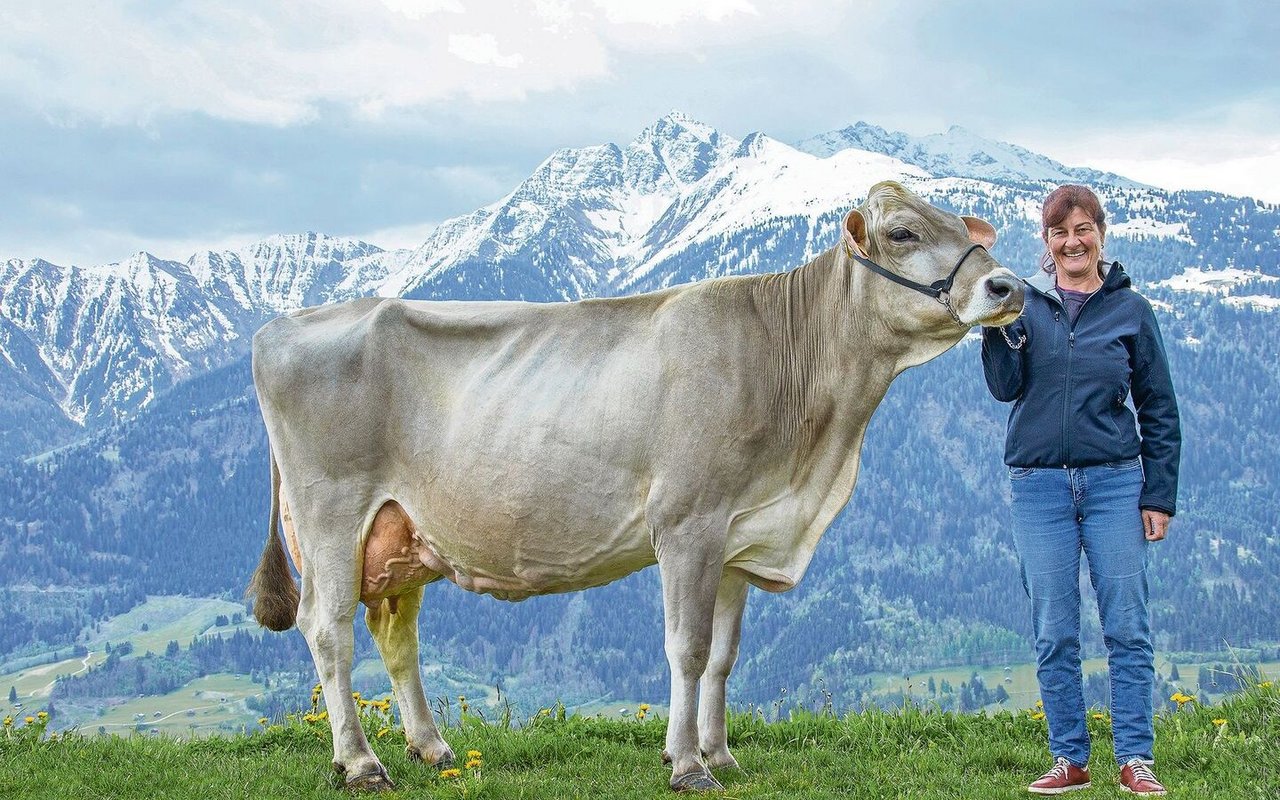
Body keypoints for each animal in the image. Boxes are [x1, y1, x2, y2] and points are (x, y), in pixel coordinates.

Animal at [249, 183, 1024, 793]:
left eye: (967, 228)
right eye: (903, 233)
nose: (1008, 287)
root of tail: (282, 326)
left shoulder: (739, 532)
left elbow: (723, 655)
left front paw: (721, 753)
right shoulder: (688, 521)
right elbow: (687, 647)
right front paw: (687, 765)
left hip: (401, 532)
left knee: (396, 635)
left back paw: (432, 748)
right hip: (329, 511)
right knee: (330, 628)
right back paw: (360, 763)